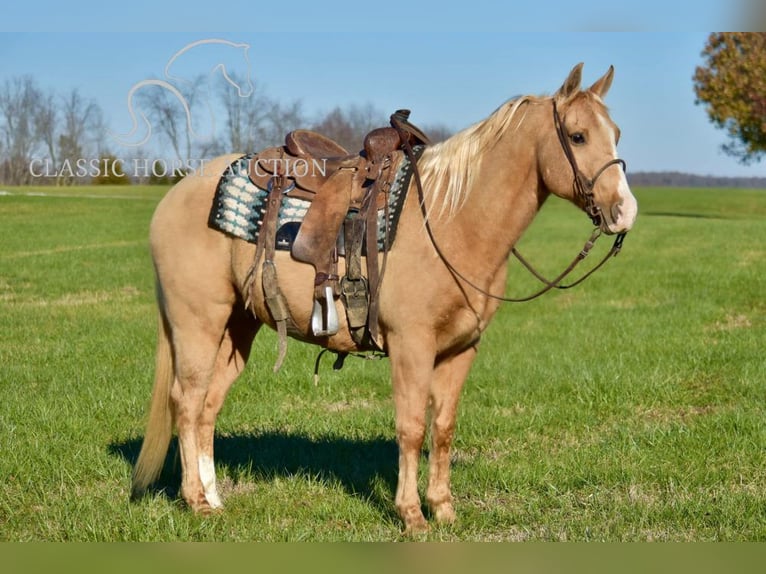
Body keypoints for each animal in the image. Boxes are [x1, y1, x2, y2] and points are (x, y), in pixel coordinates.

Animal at [134, 64, 640, 536]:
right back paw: (195, 501)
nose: (625, 212)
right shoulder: (411, 345)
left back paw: (215, 499)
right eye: (577, 135)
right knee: (186, 401)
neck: (453, 221)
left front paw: (444, 510)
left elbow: (443, 427)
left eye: (616, 134)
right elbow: (411, 427)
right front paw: (412, 516)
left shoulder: (461, 350)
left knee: (208, 407)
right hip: (197, 323)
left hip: (238, 327)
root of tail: (175, 195)